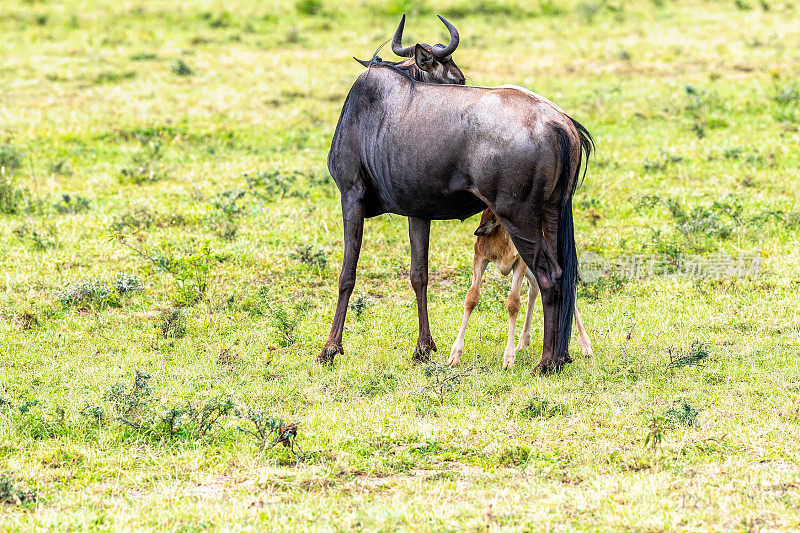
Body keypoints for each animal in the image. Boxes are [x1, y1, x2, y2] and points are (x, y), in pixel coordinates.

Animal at [450, 210, 592, 368]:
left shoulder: (520, 261)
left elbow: (513, 302)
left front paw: (508, 359)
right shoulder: (480, 254)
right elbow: (471, 297)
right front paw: (454, 355)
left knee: (566, 285)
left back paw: (586, 346)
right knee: (535, 286)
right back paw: (523, 341)